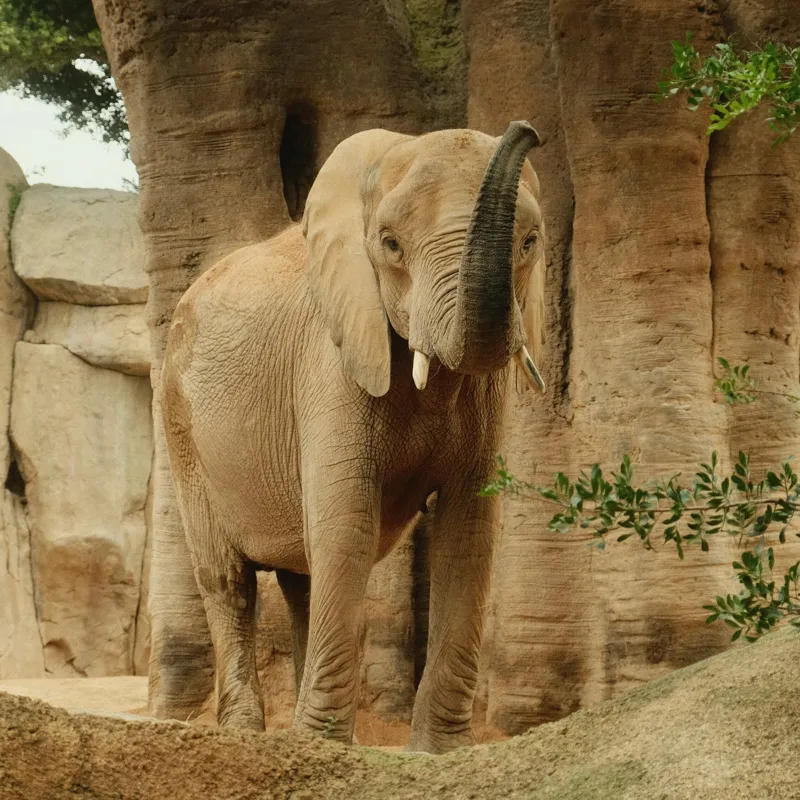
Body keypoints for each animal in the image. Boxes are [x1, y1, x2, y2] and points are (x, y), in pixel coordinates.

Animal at [160, 120, 546, 754]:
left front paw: (439, 752)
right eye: (390, 245)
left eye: (530, 243)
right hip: (178, 422)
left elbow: (468, 532)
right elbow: (348, 525)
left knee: (302, 578)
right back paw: (245, 733)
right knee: (228, 579)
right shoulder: (330, 359)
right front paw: (323, 747)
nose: (526, 130)